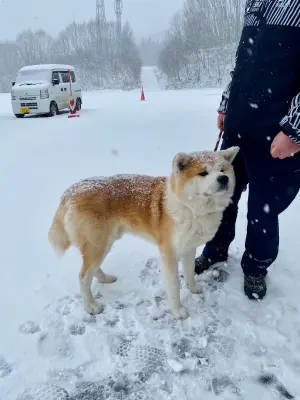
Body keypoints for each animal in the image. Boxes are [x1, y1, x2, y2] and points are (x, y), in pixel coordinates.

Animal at [48, 146, 239, 318]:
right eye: (203, 173)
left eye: (222, 170)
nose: (223, 179)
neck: (191, 208)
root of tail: (71, 191)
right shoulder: (169, 253)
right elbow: (174, 286)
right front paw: (177, 311)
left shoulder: (188, 248)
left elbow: (189, 271)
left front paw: (192, 288)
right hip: (98, 244)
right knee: (83, 276)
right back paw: (90, 306)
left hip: (103, 243)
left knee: (91, 270)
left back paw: (104, 278)